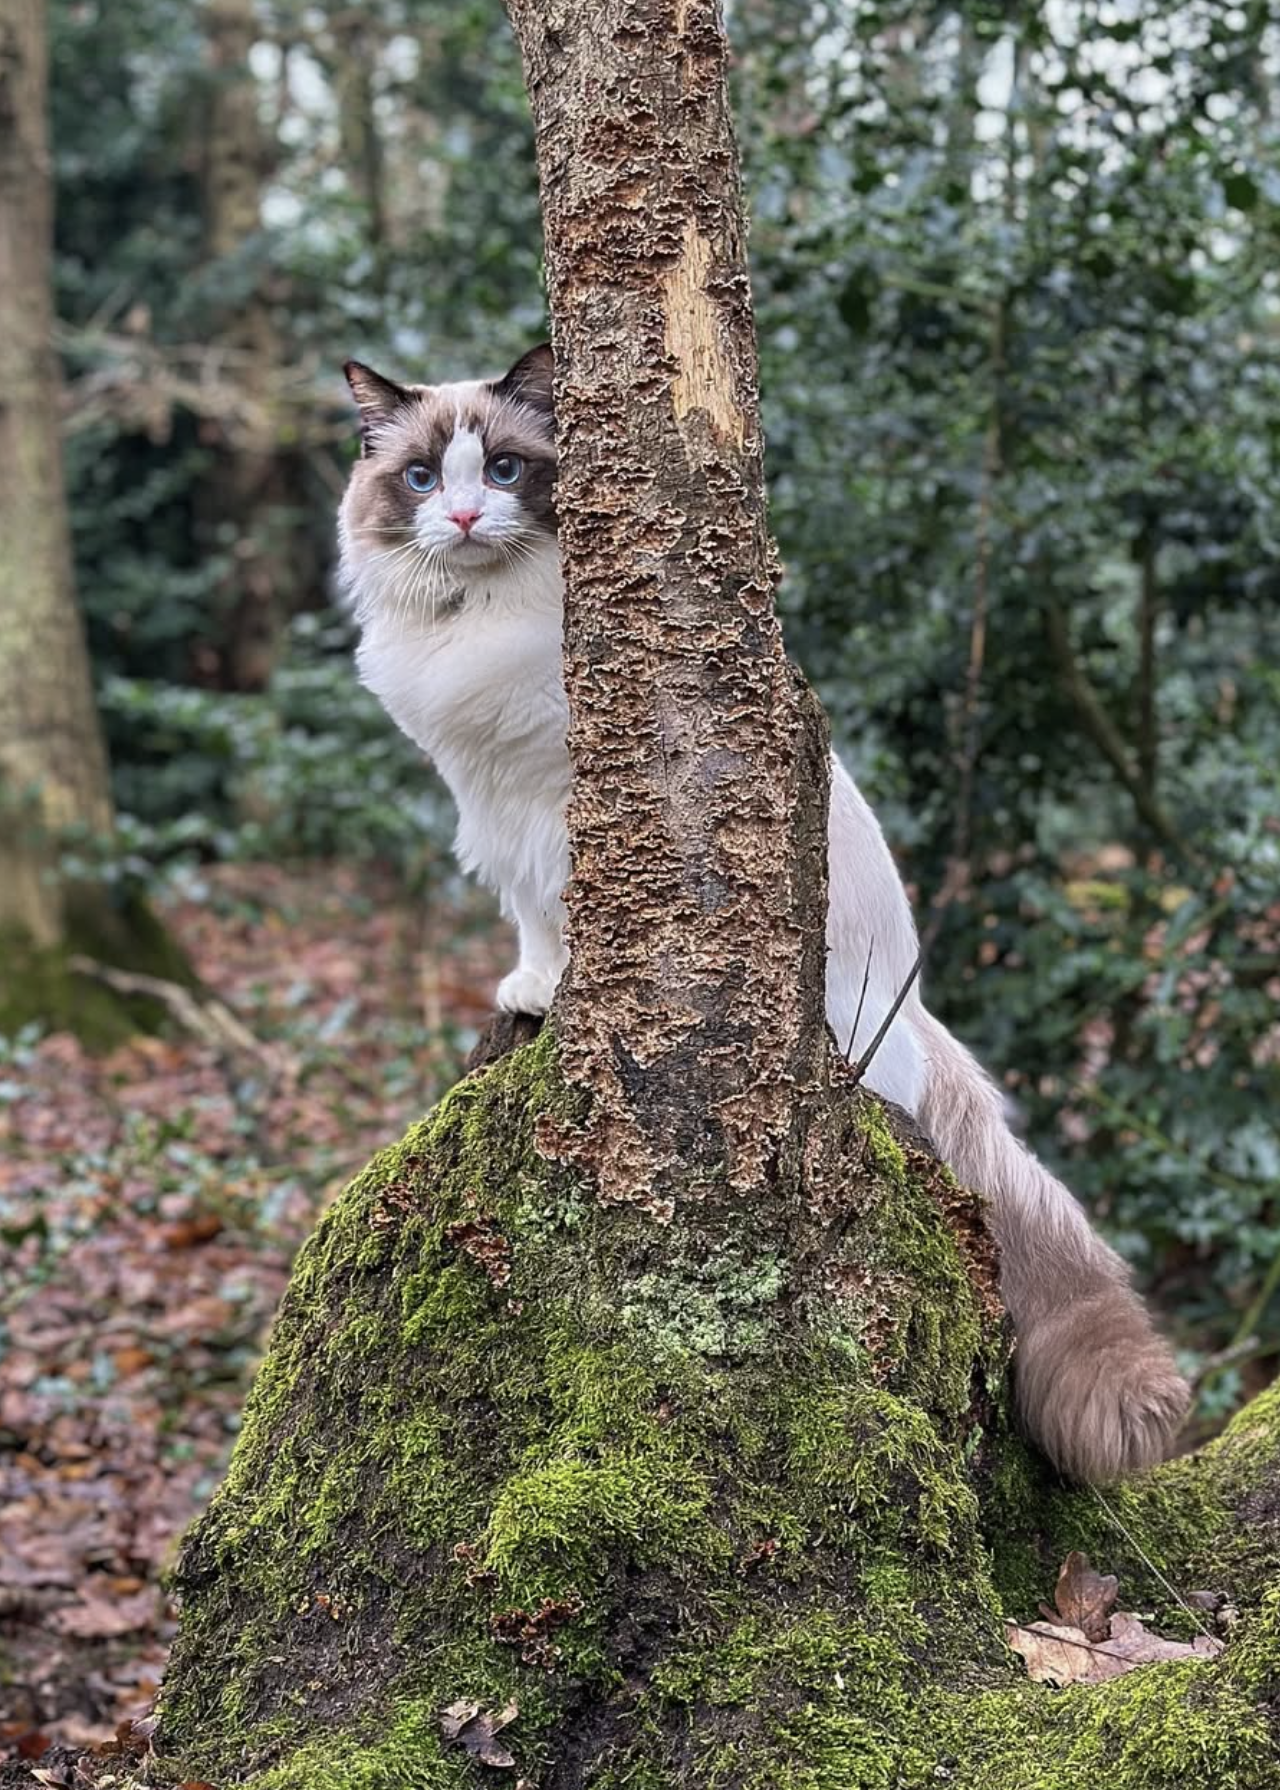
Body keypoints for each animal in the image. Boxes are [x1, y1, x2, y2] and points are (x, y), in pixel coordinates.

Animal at [338, 342, 1190, 1484]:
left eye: (506, 471)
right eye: (425, 478)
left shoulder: (566, 802)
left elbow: (577, 915)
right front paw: (531, 989)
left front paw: (563, 994)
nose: (467, 517)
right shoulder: (496, 809)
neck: (477, 623)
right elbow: (533, 920)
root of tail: (917, 1015)